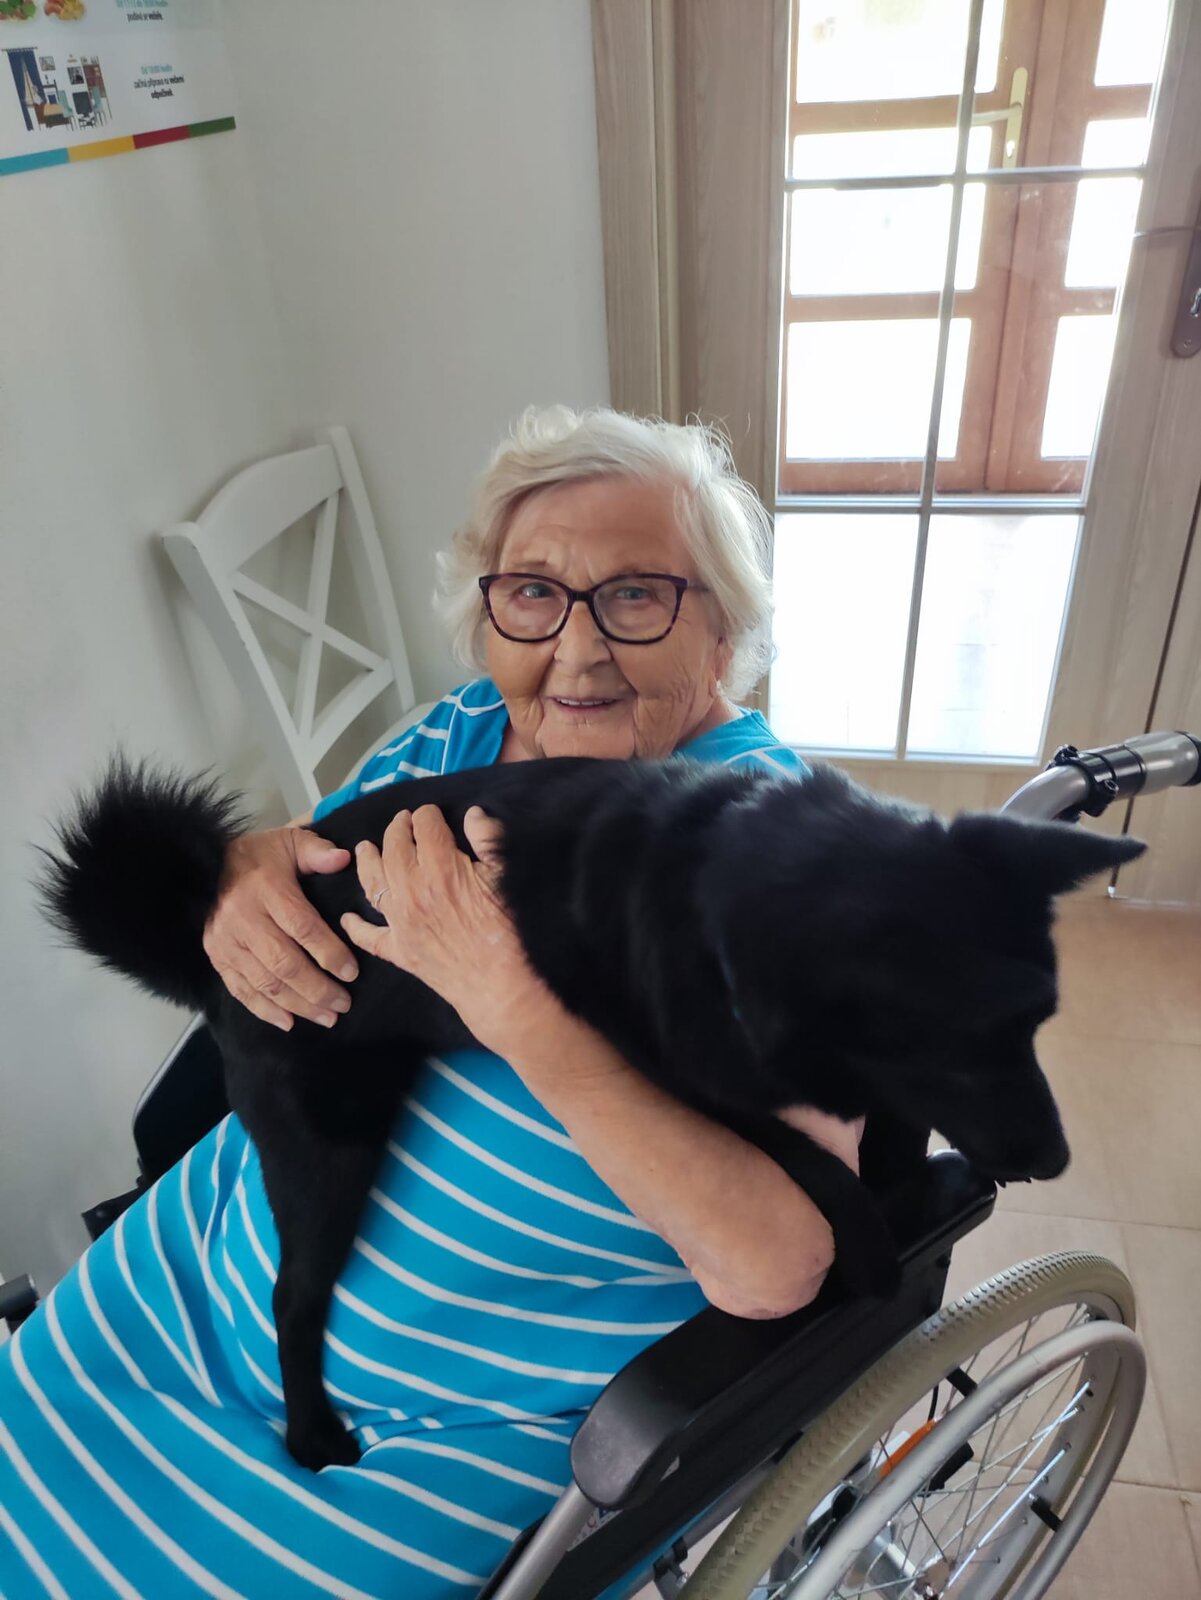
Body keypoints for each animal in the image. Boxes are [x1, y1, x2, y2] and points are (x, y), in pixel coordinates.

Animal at [38, 753, 1144, 1470]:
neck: (711, 893)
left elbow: (884, 1130)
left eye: (1038, 1022)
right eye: (962, 1049)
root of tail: (206, 952)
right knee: (291, 1296)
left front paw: (910, 1183)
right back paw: (310, 1432)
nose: (1052, 1158)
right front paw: (874, 1242)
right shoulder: (694, 1083)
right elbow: (814, 1161)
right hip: (326, 1153)